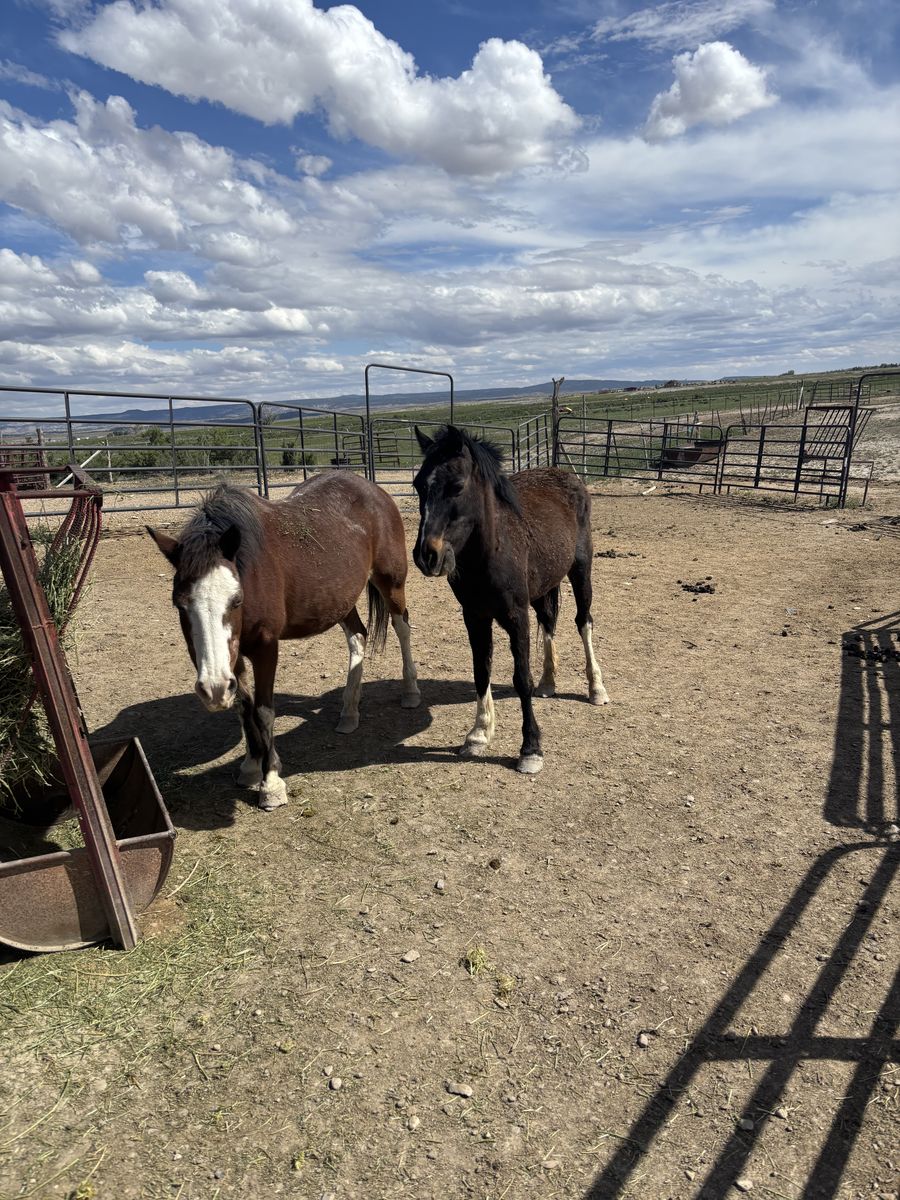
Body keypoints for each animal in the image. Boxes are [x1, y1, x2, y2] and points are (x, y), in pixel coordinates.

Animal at [147, 475, 420, 810]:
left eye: (236, 600)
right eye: (179, 604)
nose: (213, 690)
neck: (250, 570)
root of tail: (374, 490)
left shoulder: (266, 648)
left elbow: (264, 711)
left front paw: (272, 783)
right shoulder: (234, 658)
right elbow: (244, 707)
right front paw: (251, 765)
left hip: (391, 582)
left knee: (402, 627)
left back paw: (410, 692)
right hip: (340, 600)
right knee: (357, 637)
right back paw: (349, 712)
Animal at [412, 425, 609, 775]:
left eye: (457, 486)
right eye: (419, 485)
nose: (427, 555)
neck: (491, 550)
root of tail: (567, 477)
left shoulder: (517, 617)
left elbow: (521, 679)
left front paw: (530, 750)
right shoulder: (475, 616)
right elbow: (481, 670)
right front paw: (478, 734)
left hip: (581, 571)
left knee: (583, 623)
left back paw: (596, 689)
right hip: (544, 587)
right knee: (549, 623)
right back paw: (548, 682)